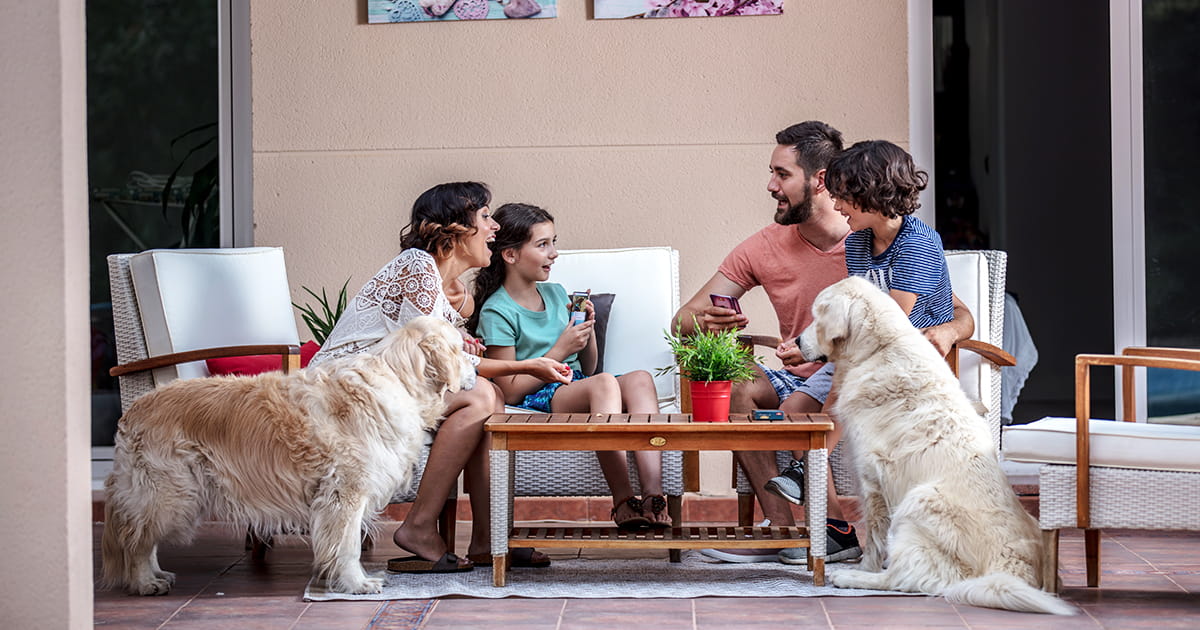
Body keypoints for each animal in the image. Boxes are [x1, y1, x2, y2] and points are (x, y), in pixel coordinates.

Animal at [100, 316, 472, 592]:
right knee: (136, 540)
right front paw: (356, 583)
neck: (398, 377)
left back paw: (156, 575)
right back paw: (145, 582)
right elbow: (348, 545)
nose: (477, 363)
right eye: (461, 349)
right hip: (170, 492)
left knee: (142, 537)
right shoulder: (346, 492)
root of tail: (135, 407)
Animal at [801, 278, 1075, 614]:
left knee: (907, 579)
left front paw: (865, 567)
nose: (797, 342)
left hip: (918, 500)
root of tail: (1014, 568)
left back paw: (852, 577)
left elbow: (874, 533)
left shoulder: (873, 478)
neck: (879, 349)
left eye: (816, 316)